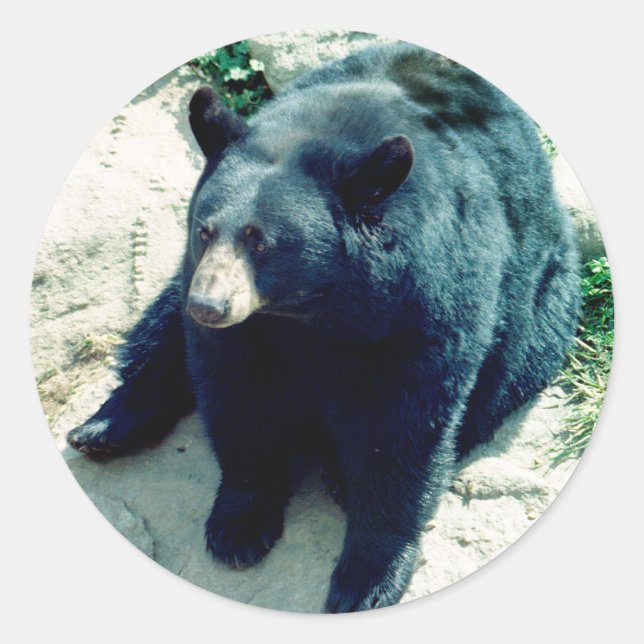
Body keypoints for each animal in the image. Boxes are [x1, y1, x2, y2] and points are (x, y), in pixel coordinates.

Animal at [67, 43, 581, 612]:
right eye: (204, 229)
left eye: (260, 240)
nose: (209, 306)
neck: (311, 309)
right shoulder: (236, 320)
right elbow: (238, 396)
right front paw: (239, 528)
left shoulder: (421, 304)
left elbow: (402, 431)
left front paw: (365, 581)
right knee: (158, 329)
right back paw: (104, 428)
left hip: (542, 309)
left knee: (499, 383)